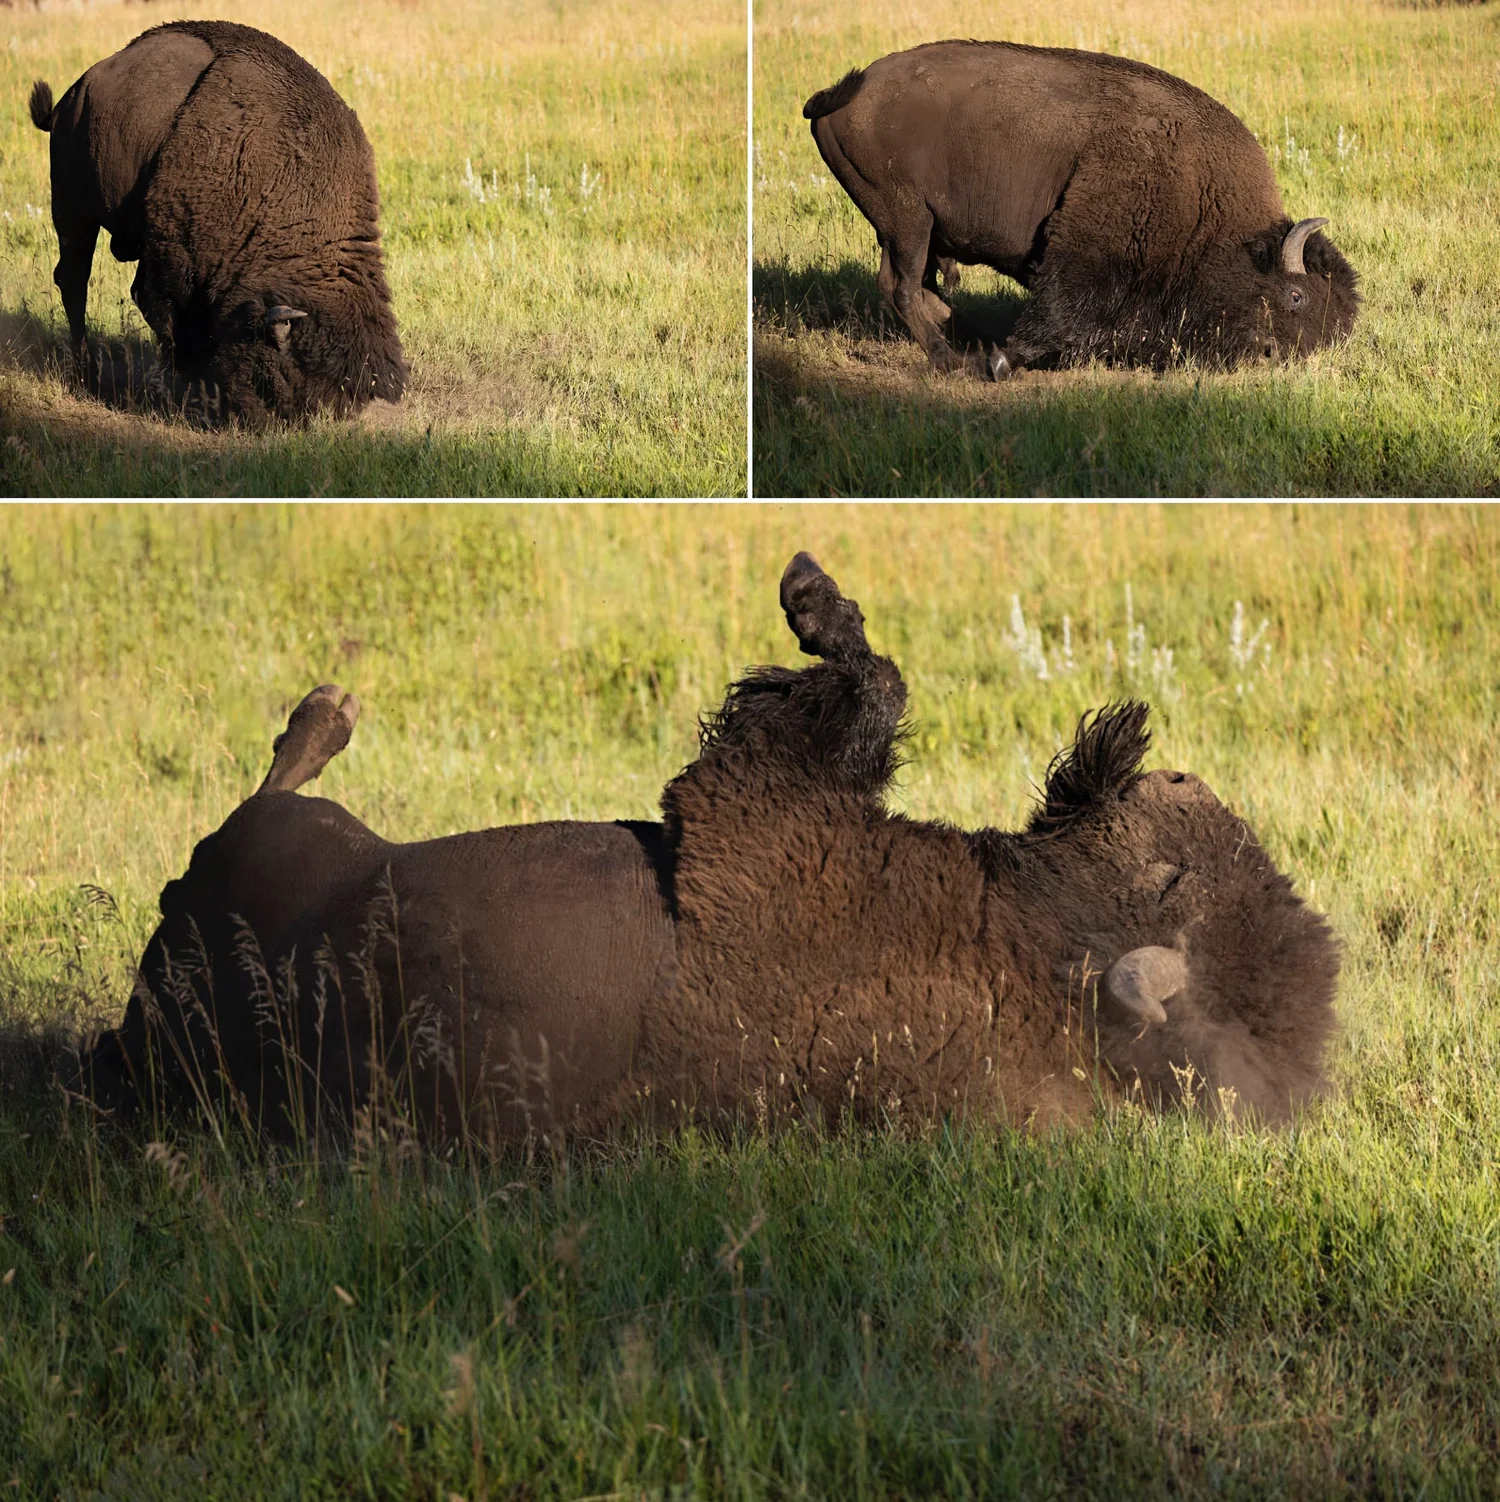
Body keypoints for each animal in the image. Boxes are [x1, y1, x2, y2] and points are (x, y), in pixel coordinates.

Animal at [29, 22, 406, 421]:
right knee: (74, 281)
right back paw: (85, 373)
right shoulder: (174, 261)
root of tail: (74, 93)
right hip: (73, 211)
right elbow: (168, 320)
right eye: (278, 378)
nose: (267, 423)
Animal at [85, 555, 1338, 1142]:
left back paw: (328, 708)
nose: (1170, 772)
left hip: (295, 849)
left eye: (1175, 871)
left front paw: (811, 596)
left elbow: (863, 683)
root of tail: (139, 1030)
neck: (1024, 958)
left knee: (261, 794)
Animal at [803, 42, 1361, 377]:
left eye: (1332, 332)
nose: (1272, 356)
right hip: (908, 219)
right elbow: (1061, 315)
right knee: (903, 287)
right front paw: (1003, 361)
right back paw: (951, 359)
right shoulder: (1084, 260)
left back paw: (962, 340)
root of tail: (843, 94)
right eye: (1295, 295)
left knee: (911, 286)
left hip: (903, 227)